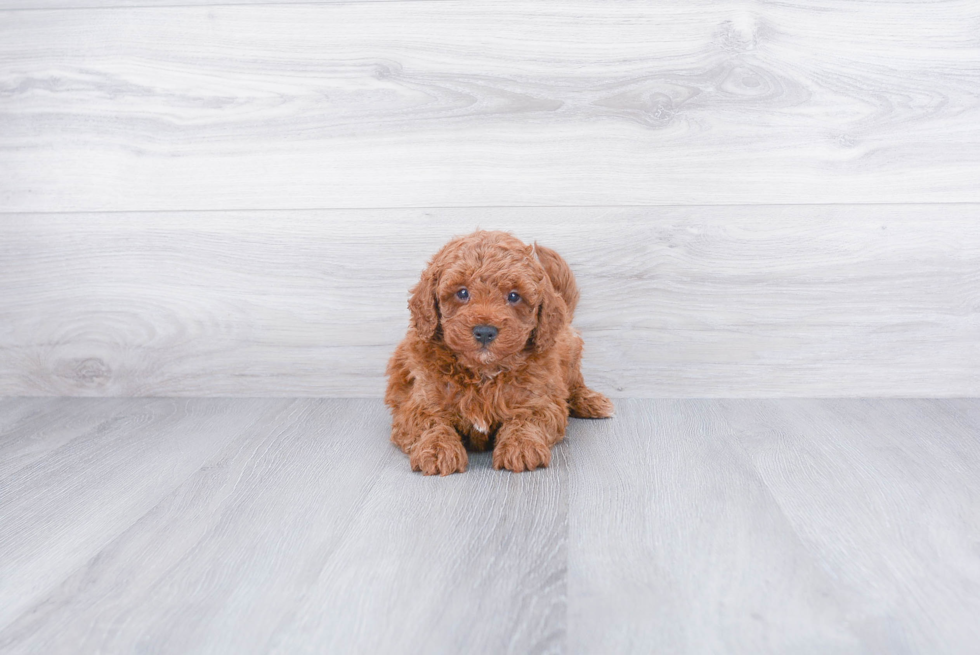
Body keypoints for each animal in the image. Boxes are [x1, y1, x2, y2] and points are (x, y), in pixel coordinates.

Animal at [384, 231, 608, 476]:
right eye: (462, 293)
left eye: (514, 296)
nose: (484, 331)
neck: (482, 373)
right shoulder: (420, 401)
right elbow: (430, 422)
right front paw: (437, 449)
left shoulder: (540, 399)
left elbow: (526, 418)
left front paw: (521, 446)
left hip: (569, 351)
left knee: (575, 382)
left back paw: (591, 401)